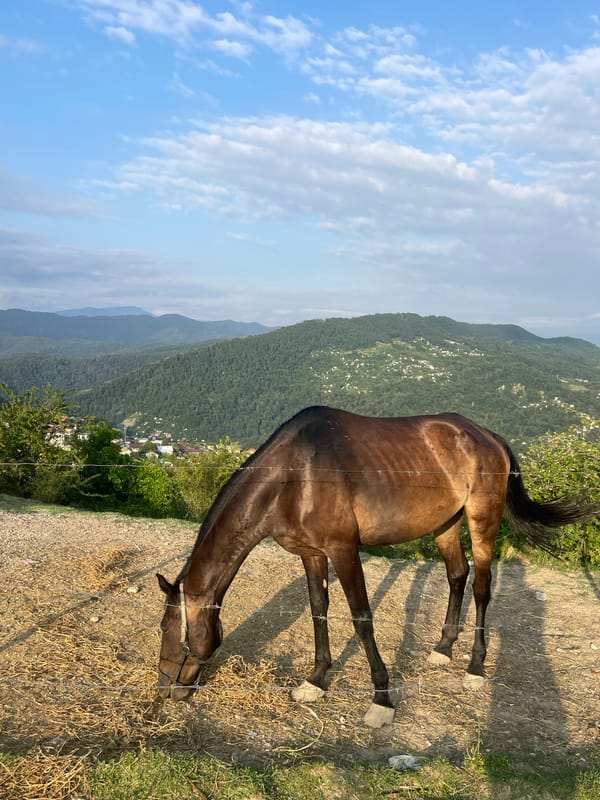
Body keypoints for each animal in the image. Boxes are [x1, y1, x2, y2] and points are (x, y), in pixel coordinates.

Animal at [157, 406, 600, 728]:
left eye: (166, 629)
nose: (166, 689)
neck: (294, 476)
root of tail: (487, 436)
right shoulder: (311, 553)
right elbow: (318, 610)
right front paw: (315, 680)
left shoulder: (343, 550)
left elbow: (361, 618)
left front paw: (381, 699)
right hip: (445, 524)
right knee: (457, 576)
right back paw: (443, 648)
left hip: (482, 519)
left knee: (482, 587)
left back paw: (475, 666)